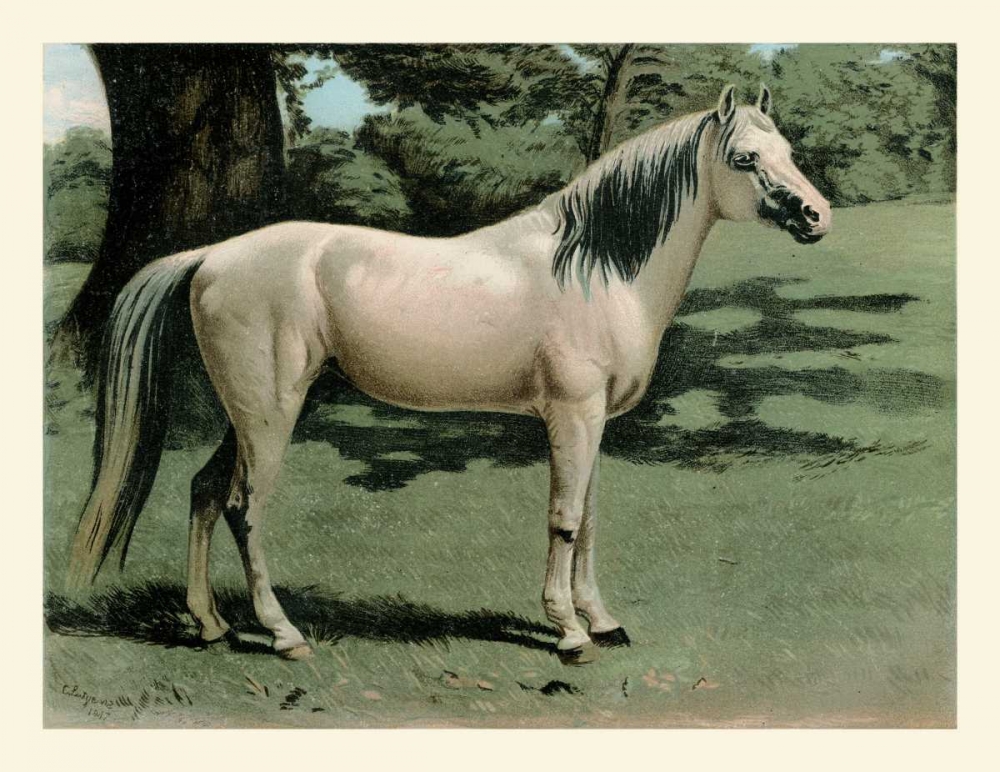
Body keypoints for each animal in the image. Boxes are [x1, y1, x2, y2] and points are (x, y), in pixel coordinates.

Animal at [66, 84, 830, 664]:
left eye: (788, 153)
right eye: (745, 158)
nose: (817, 215)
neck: (594, 266)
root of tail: (211, 257)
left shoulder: (598, 422)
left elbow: (589, 520)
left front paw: (604, 621)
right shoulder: (572, 415)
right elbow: (563, 520)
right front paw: (568, 632)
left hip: (253, 415)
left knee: (202, 492)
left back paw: (210, 625)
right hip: (269, 416)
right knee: (243, 508)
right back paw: (283, 635)